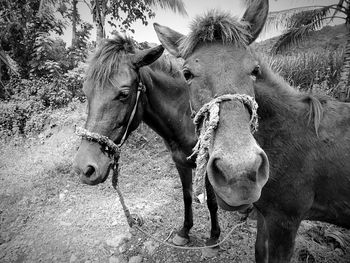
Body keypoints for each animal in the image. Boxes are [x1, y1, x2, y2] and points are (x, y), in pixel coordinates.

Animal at [73, 36, 221, 249]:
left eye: (124, 94)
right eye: (86, 92)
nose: (84, 168)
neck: (186, 119)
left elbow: (212, 202)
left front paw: (214, 238)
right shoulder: (181, 163)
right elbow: (186, 196)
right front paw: (184, 231)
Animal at [154, 1, 350, 262]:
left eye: (255, 69)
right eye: (186, 74)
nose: (239, 175)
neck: (286, 136)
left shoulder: (284, 223)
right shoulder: (265, 216)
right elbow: (259, 252)